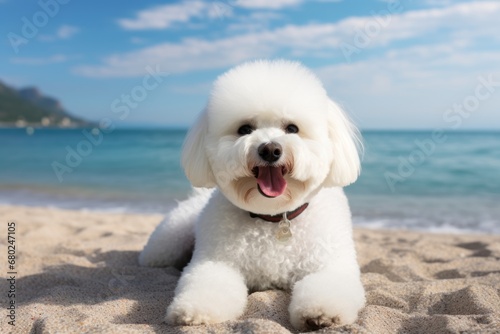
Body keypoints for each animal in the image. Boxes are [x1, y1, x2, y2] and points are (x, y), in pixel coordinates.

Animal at [139, 60, 366, 332]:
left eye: (292, 128)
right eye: (245, 129)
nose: (270, 149)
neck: (274, 218)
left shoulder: (330, 263)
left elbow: (327, 286)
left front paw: (321, 313)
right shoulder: (216, 262)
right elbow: (207, 285)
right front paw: (195, 310)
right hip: (169, 239)